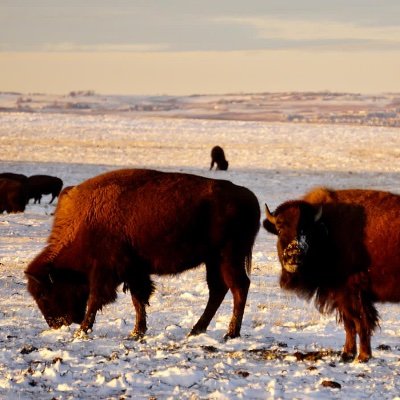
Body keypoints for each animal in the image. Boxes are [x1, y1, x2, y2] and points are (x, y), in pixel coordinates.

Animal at [25, 167, 262, 340]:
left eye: (44, 293)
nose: (56, 324)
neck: (87, 218)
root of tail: (249, 197)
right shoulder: (134, 271)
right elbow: (138, 299)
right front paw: (137, 332)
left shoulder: (106, 271)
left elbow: (96, 299)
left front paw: (82, 330)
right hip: (214, 260)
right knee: (218, 290)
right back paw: (196, 330)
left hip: (228, 257)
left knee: (238, 287)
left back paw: (230, 333)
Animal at [262, 188, 400, 362]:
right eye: (279, 229)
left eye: (306, 230)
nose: (294, 255)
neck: (326, 233)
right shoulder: (340, 297)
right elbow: (349, 324)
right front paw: (347, 354)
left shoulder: (353, 294)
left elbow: (361, 323)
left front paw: (362, 356)